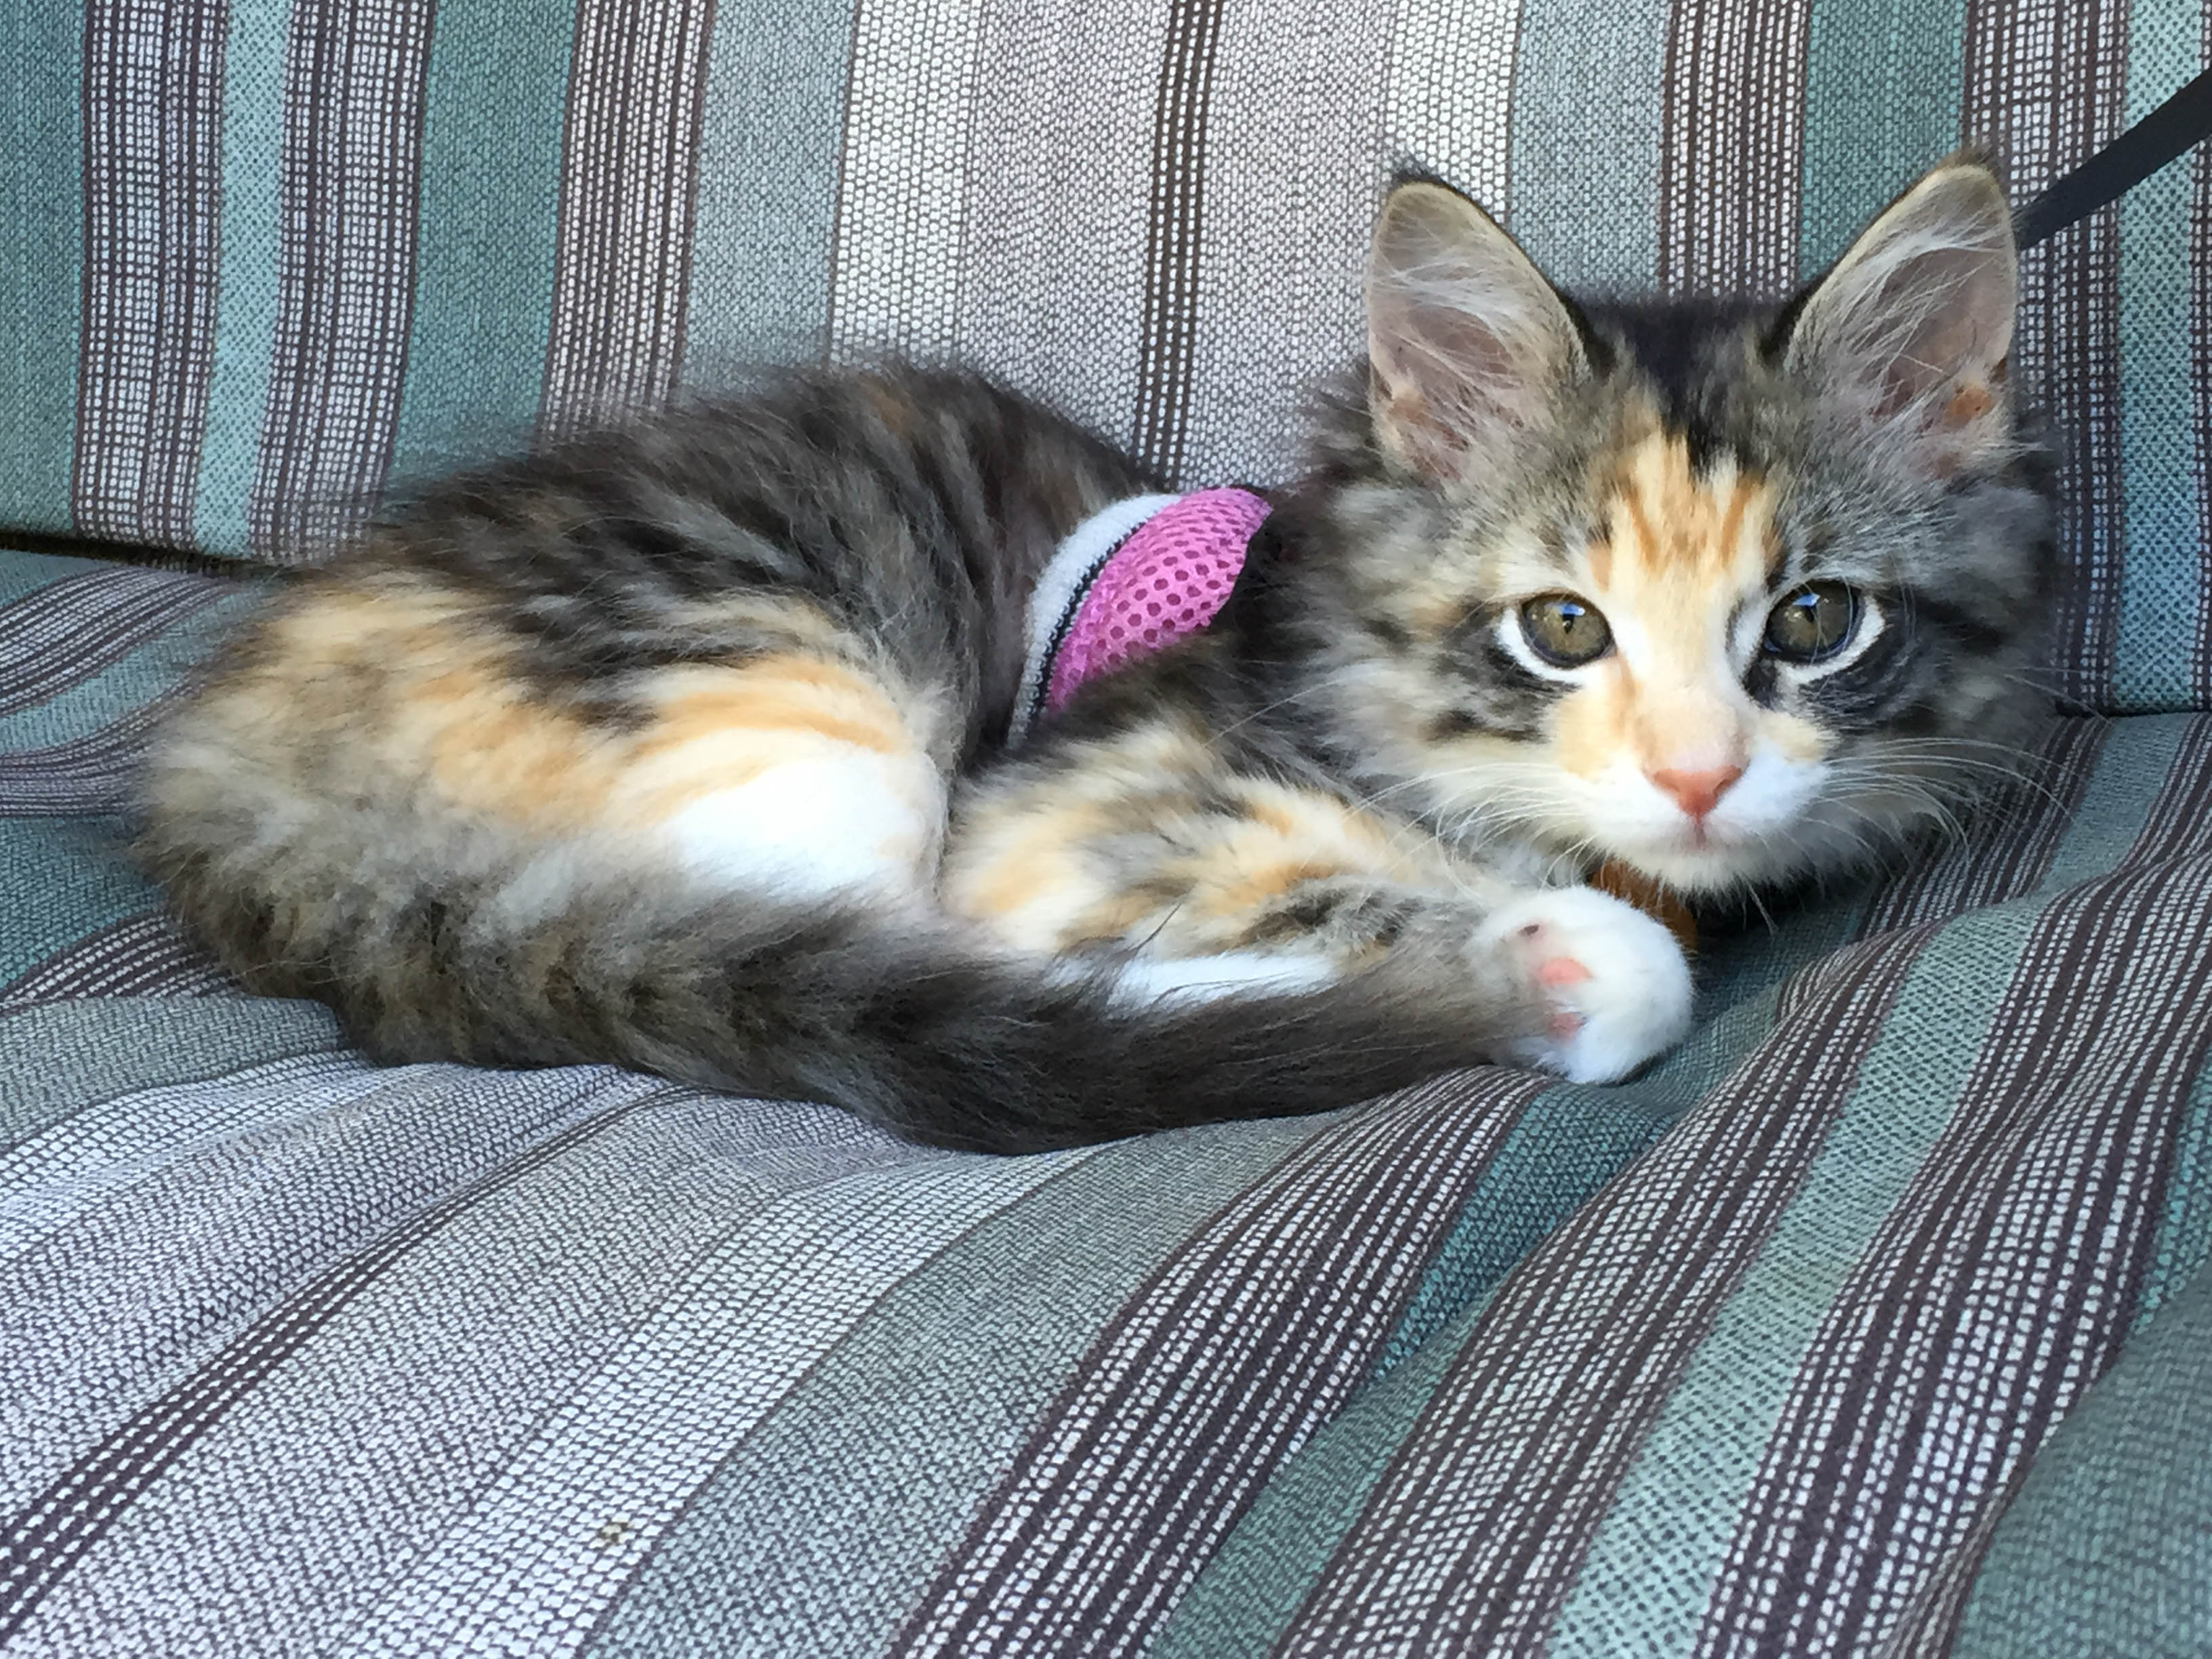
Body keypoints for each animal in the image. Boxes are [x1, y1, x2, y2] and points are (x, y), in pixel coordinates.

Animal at [138, 162, 2052, 1159]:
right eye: (1561, 628)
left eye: (1810, 622)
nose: (1697, 776)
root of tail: (221, 763)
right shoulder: (1061, 807)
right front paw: (1551, 962)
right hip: (805, 712)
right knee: (889, 963)